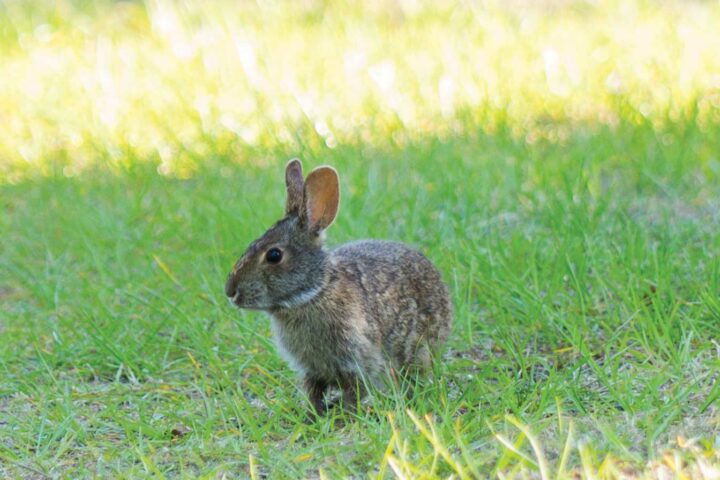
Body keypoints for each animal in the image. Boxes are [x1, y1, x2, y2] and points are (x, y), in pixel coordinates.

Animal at [225, 159, 450, 414]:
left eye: (274, 255)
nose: (230, 291)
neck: (315, 292)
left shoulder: (356, 360)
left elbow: (355, 390)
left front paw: (344, 413)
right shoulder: (311, 369)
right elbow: (314, 391)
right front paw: (313, 413)